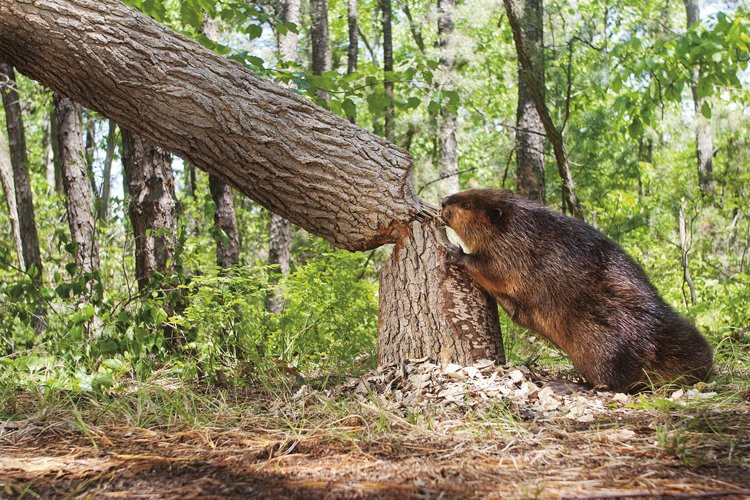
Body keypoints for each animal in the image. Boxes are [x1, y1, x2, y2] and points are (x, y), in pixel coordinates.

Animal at [444, 188, 712, 390]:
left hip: (603, 347)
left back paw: (565, 384)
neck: (518, 224)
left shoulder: (514, 251)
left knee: (610, 384)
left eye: (466, 205)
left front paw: (456, 253)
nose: (445, 201)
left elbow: (491, 268)